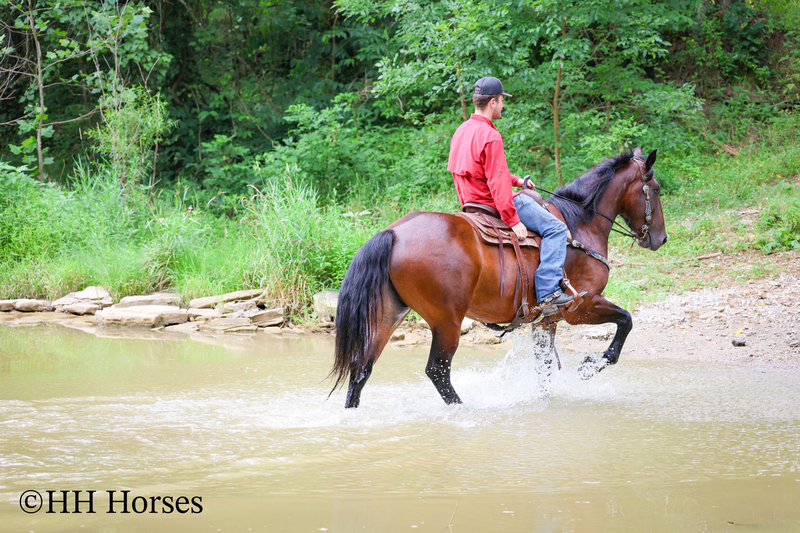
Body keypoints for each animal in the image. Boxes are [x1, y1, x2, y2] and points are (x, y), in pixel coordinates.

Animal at [330, 147, 667, 408]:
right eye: (657, 189)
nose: (661, 238)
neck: (580, 224)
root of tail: (395, 232)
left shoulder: (546, 320)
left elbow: (544, 367)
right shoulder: (581, 306)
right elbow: (626, 321)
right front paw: (590, 366)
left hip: (388, 315)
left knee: (361, 369)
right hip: (446, 321)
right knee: (437, 371)